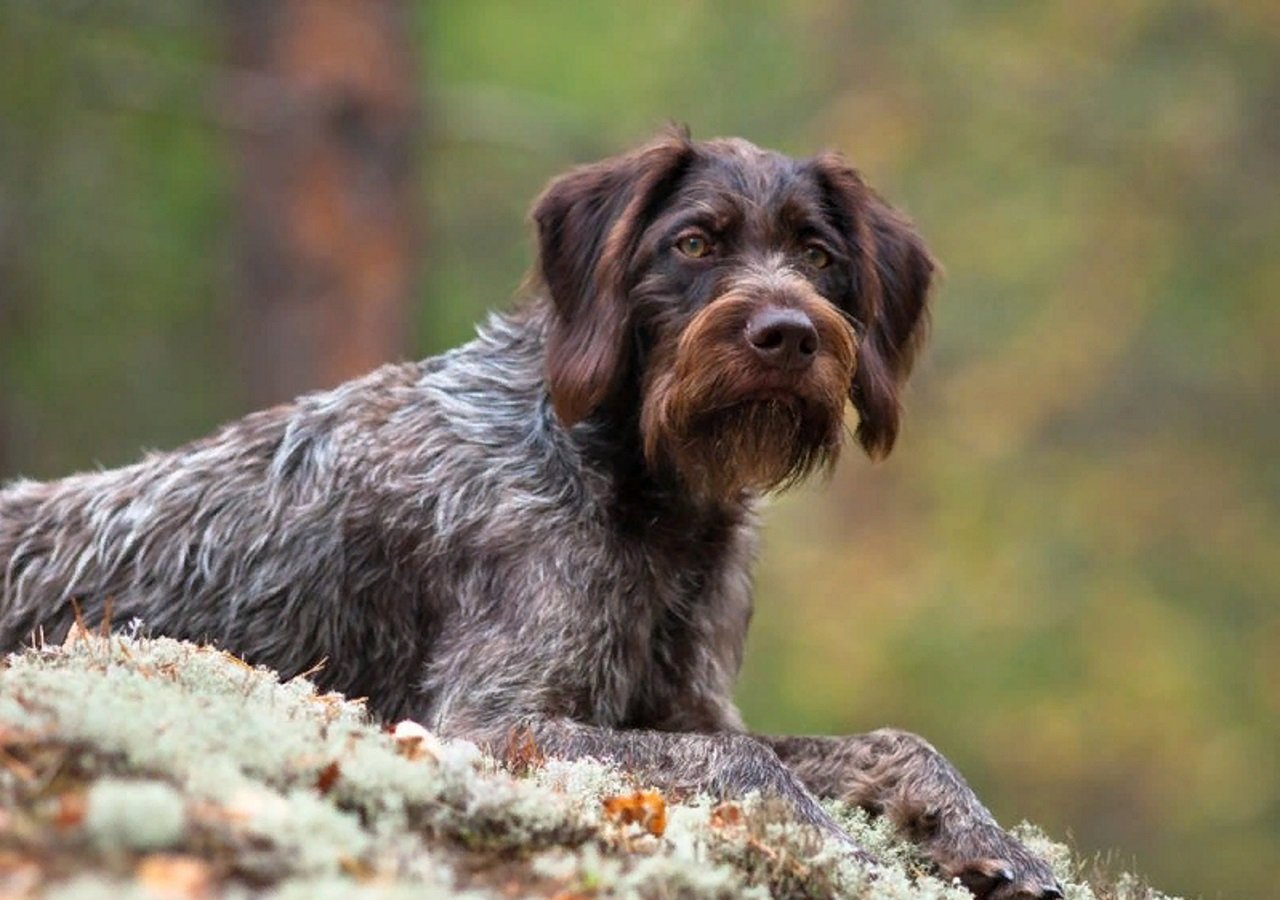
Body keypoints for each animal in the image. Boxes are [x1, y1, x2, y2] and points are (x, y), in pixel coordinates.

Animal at [0, 133, 1059, 900]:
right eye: (693, 243)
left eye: (817, 253)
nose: (787, 333)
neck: (648, 497)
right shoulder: (486, 721)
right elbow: (746, 762)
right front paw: (851, 851)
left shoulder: (684, 703)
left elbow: (889, 742)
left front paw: (985, 839)